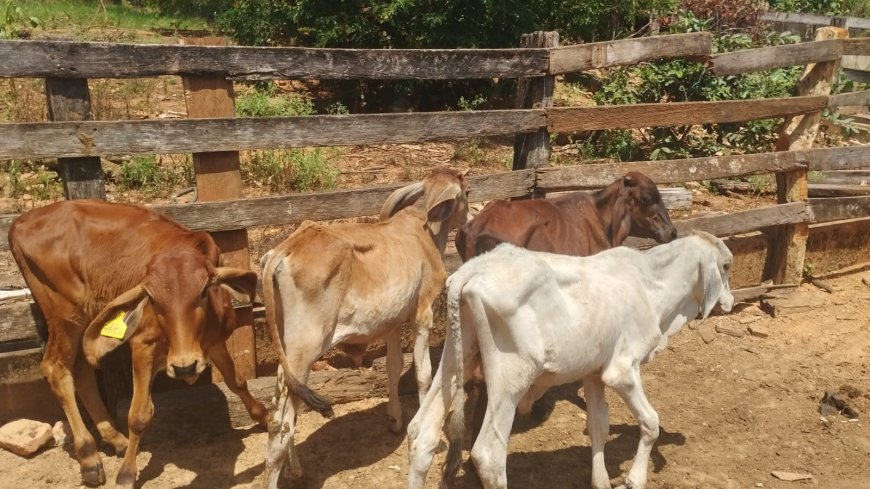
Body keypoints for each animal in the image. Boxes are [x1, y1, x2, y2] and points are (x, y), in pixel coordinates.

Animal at [6, 199, 332, 488]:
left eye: (203, 291)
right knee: (57, 368)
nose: (185, 367)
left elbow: (236, 381)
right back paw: (89, 457)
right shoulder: (142, 346)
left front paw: (264, 417)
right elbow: (138, 415)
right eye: (153, 299)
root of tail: (22, 221)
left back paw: (114, 438)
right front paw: (127, 473)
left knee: (83, 370)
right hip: (64, 314)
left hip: (84, 317)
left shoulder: (214, 343)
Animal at [408, 230, 736, 488]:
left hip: (456, 358)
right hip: (510, 378)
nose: (730, 302)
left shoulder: (593, 373)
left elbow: (598, 426)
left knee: (421, 435)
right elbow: (651, 422)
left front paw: (601, 481)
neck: (651, 287)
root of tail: (472, 271)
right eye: (726, 266)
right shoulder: (622, 370)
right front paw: (634, 480)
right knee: (488, 456)